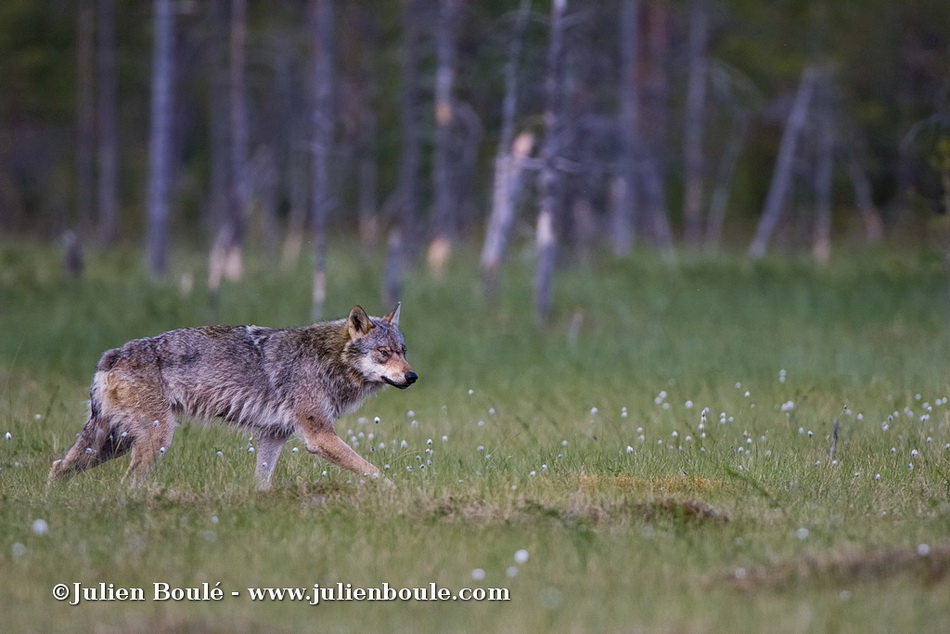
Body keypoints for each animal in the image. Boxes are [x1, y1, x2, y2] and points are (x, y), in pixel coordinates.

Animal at [49, 304, 416, 486]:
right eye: (384, 352)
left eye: (403, 351)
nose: (412, 376)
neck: (328, 359)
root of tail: (111, 355)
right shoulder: (319, 436)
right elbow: (374, 472)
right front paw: (398, 493)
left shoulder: (273, 436)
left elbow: (262, 481)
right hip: (151, 439)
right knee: (127, 482)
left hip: (113, 443)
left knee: (57, 467)